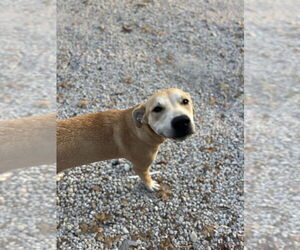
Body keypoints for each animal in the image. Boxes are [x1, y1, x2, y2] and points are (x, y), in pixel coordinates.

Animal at [57, 88, 196, 189]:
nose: (181, 121)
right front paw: (151, 185)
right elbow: (146, 177)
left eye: (185, 101)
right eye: (157, 109)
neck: (140, 129)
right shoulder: (141, 166)